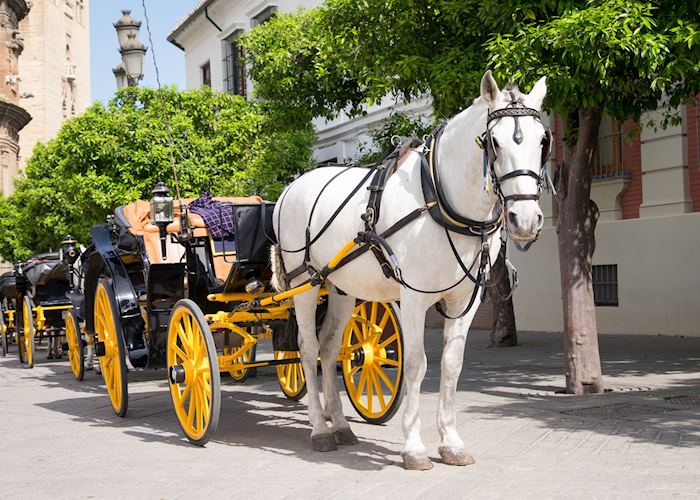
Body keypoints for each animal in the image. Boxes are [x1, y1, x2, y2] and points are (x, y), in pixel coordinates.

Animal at [271, 71, 548, 470]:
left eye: (543, 141)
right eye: (493, 142)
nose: (524, 219)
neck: (439, 199)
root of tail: (289, 188)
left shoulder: (465, 298)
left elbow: (451, 365)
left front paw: (451, 443)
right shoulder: (415, 297)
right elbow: (417, 364)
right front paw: (414, 447)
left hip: (340, 288)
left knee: (329, 348)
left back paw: (340, 425)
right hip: (304, 283)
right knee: (308, 350)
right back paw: (320, 430)